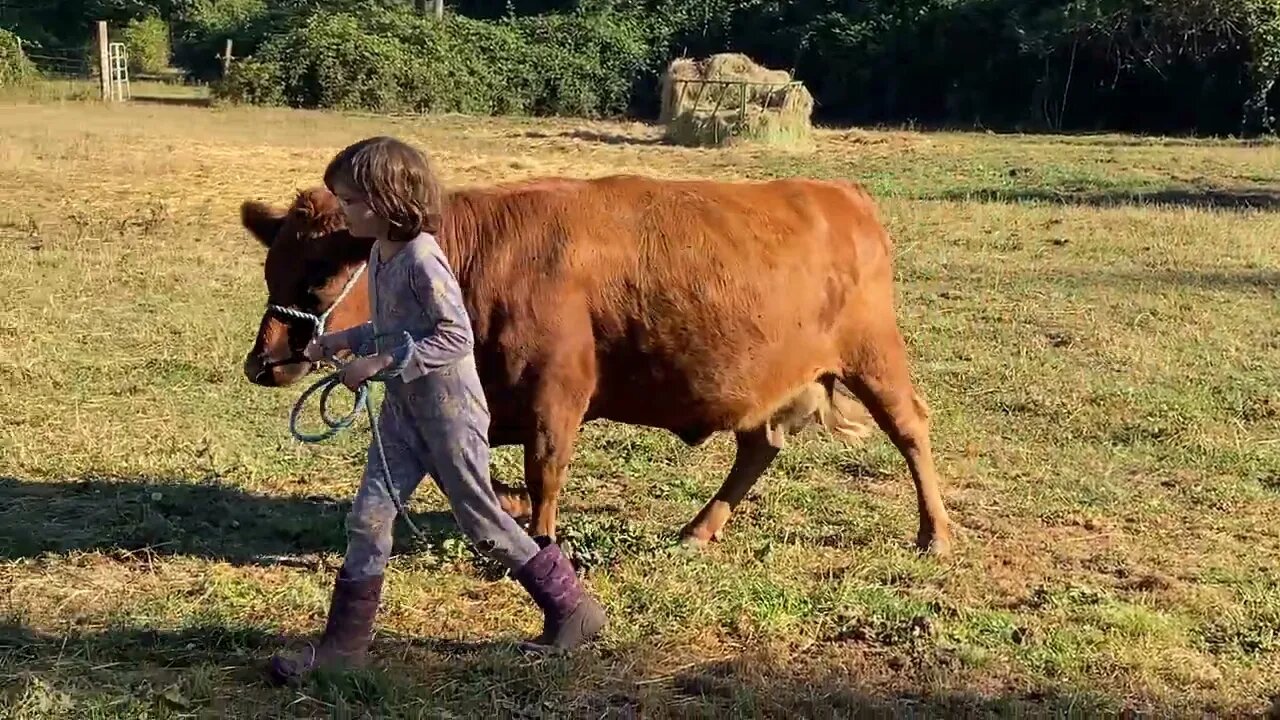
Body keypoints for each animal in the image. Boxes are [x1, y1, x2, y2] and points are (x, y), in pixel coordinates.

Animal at [240, 174, 957, 556]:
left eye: (319, 274)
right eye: (272, 267)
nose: (263, 362)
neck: (479, 257)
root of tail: (841, 193)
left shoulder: (556, 391)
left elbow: (545, 469)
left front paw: (540, 535)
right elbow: (464, 469)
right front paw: (502, 511)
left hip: (875, 357)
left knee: (911, 430)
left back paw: (935, 533)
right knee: (758, 449)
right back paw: (699, 529)